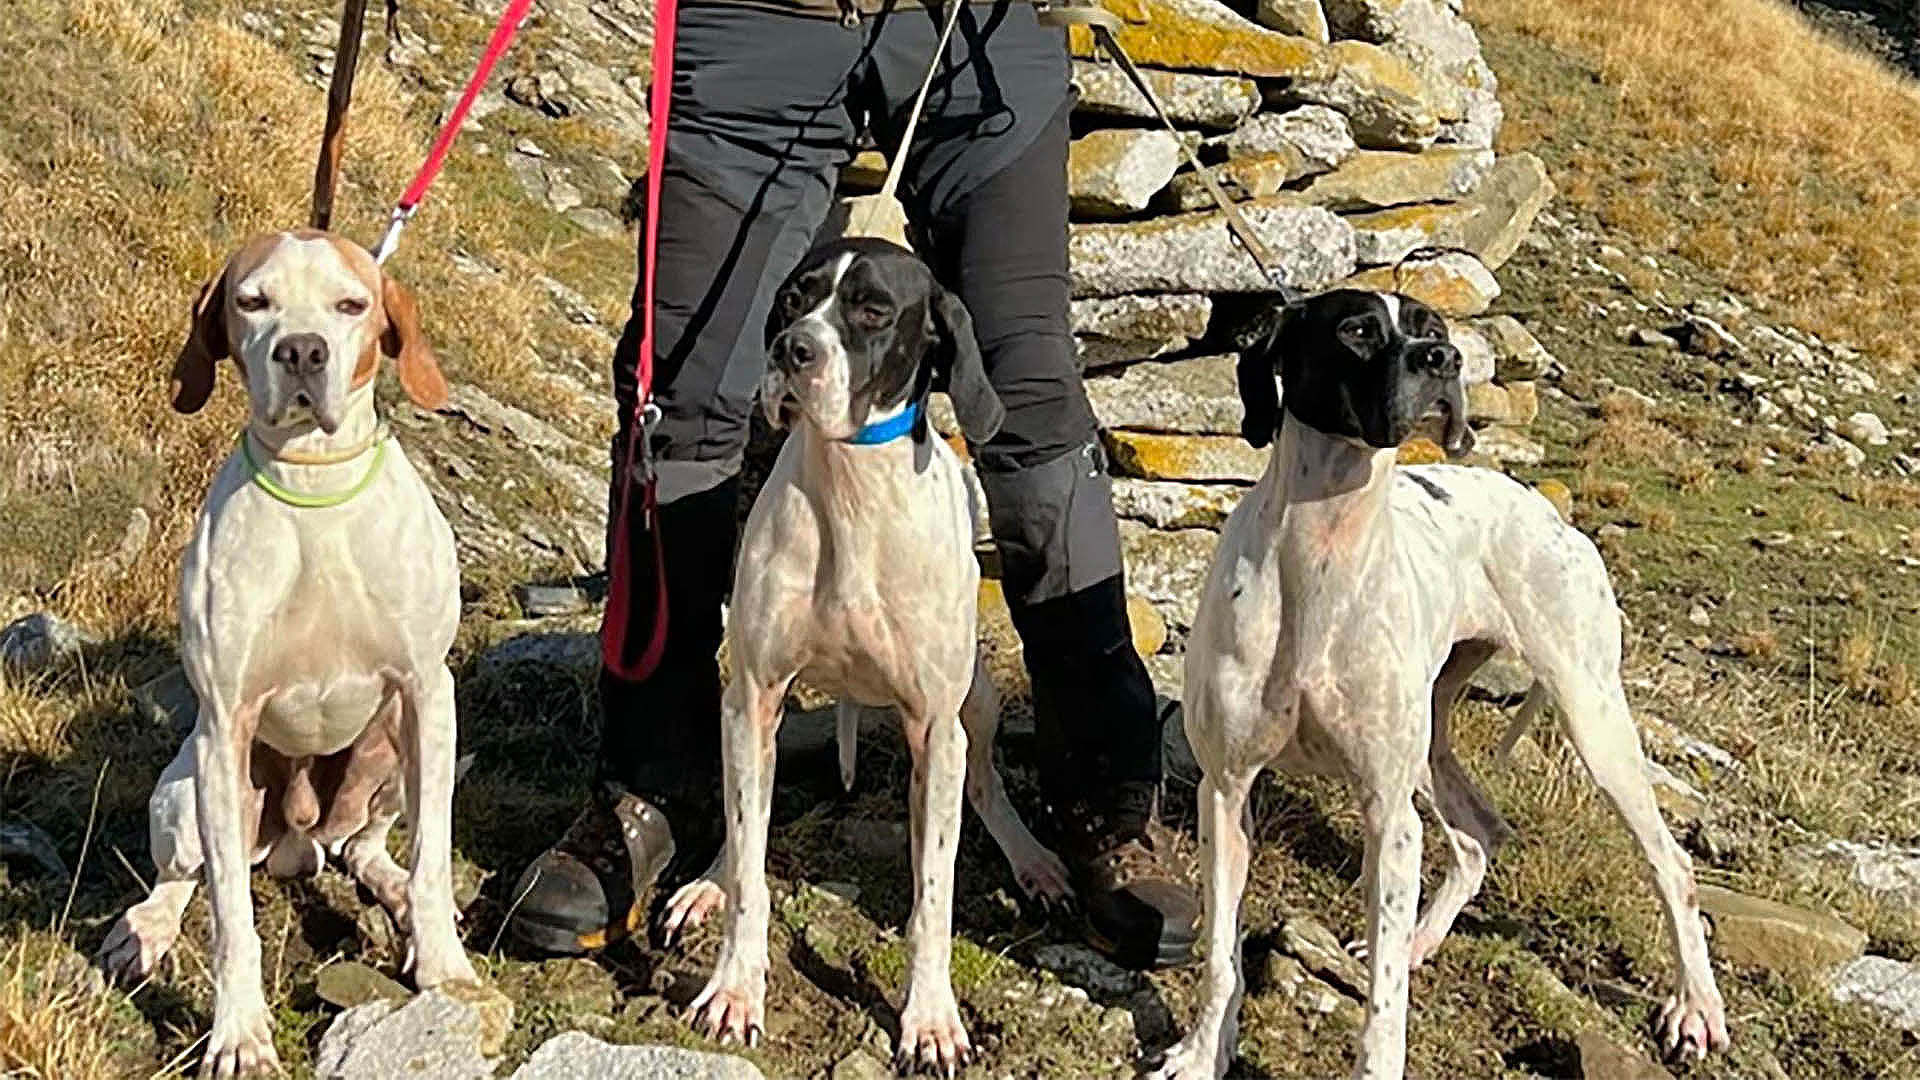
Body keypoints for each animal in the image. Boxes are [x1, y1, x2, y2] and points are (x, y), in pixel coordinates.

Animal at [97, 231, 472, 1068]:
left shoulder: (427, 692)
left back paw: (393, 894)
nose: (302, 351)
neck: (314, 483)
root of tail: (301, 841)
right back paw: (145, 929)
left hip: (391, 753)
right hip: (190, 792)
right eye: (253, 300)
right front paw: (238, 1035)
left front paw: (445, 968)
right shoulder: (225, 722)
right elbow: (232, 918)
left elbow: (434, 858)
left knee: (368, 845)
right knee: (183, 876)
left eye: (351, 304)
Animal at [664, 235, 1082, 1068]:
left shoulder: (935, 728)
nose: (792, 351)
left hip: (976, 704)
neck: (852, 493)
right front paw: (734, 989)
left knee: (985, 790)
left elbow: (935, 893)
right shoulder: (753, 696)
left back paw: (1033, 860)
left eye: (872, 310)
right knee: (744, 823)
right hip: (756, 721)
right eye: (795, 298)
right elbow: (753, 863)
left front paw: (931, 1019)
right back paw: (711, 878)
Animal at [1144, 288, 1735, 1076]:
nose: (1444, 361)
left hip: (1591, 719)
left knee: (1672, 863)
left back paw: (1695, 1007)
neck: (1322, 548)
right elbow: (1218, 953)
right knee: (1481, 834)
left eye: (1437, 329)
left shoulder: (1388, 816)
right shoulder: (1225, 792)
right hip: (1432, 741)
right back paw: (1424, 940)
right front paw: (1202, 1051)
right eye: (1357, 329)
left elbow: (1384, 1006)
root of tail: (1552, 513)